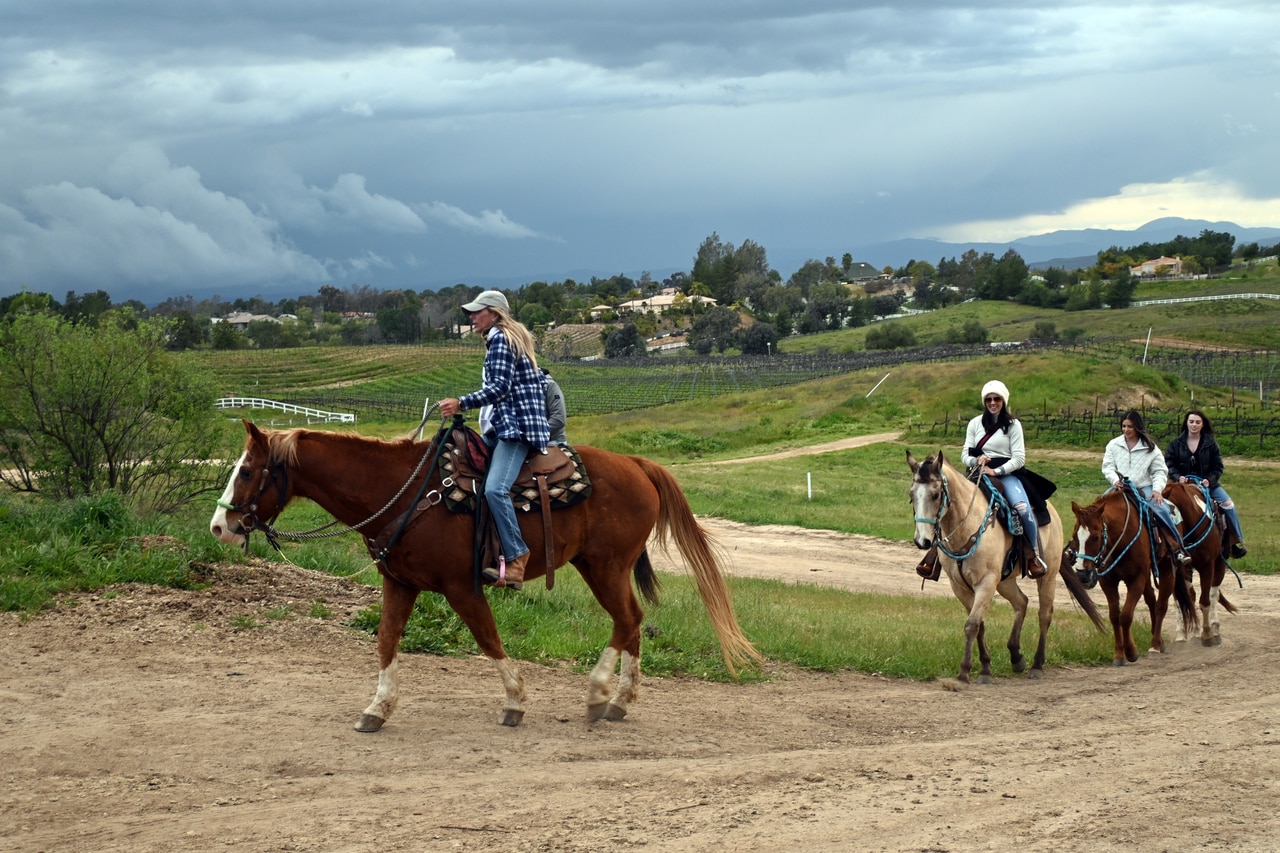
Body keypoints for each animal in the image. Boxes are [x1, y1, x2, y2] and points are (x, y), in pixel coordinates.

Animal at [204, 417, 752, 722]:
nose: (219, 527)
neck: (405, 491)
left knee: (628, 621)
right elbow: (386, 640)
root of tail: (638, 464)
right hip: (599, 567)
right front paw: (377, 708)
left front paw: (515, 701)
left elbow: (488, 638)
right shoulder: (399, 583)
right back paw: (618, 700)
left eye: (247, 471)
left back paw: (601, 694)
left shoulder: (461, 588)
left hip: (605, 567)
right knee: (631, 623)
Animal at [906, 448, 1105, 686]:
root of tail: (1054, 514)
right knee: (1022, 602)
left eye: (936, 495)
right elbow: (979, 624)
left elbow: (972, 624)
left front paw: (964, 673)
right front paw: (985, 668)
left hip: (1046, 576)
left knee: (1044, 614)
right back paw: (1016, 656)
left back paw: (1037, 665)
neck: (967, 526)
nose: (923, 541)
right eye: (911, 495)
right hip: (1005, 581)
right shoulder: (960, 587)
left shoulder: (986, 582)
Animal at [1064, 484, 1192, 666]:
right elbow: (1114, 616)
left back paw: (1156, 644)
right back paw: (1157, 638)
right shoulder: (1108, 581)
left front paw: (1131, 651)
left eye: (1095, 537)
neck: (1121, 537)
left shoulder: (1136, 578)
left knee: (1161, 605)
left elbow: (1125, 616)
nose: (1082, 575)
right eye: (1075, 536)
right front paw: (1119, 654)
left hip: (1167, 569)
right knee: (1151, 600)